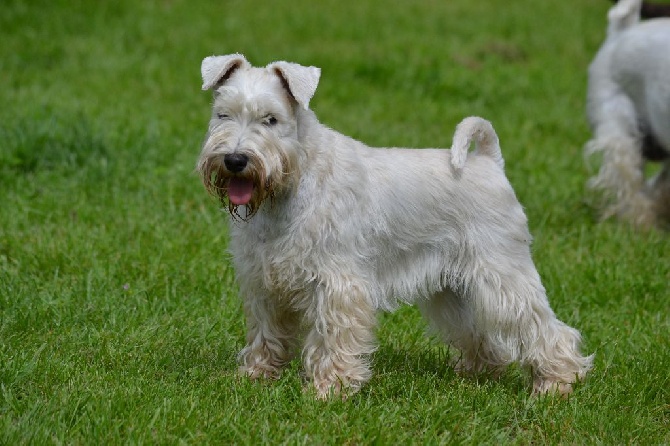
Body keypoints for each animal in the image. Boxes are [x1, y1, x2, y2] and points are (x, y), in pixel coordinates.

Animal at [198, 54, 592, 398]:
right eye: (223, 114)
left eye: (271, 119)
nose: (235, 159)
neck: (293, 179)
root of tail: (489, 163)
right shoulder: (263, 280)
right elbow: (265, 333)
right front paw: (254, 376)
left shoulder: (338, 283)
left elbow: (333, 337)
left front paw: (330, 390)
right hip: (453, 289)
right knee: (480, 334)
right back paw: (475, 375)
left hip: (503, 277)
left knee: (547, 330)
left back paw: (557, 384)